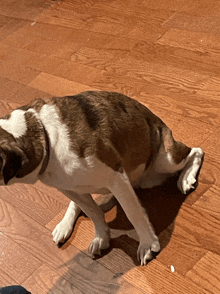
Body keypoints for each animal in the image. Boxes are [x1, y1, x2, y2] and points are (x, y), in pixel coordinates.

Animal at [0, 91, 204, 264]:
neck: (43, 136)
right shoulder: (68, 188)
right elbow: (93, 212)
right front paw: (101, 237)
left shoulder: (115, 177)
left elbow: (133, 213)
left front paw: (147, 244)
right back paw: (64, 225)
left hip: (165, 159)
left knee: (195, 151)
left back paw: (186, 178)